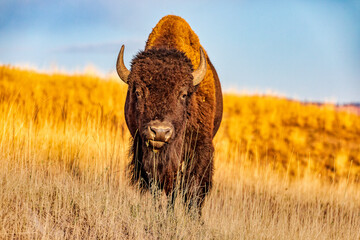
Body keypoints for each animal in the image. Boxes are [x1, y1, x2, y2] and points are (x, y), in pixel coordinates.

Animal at [116, 15, 222, 211]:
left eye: (183, 94)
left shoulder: (200, 147)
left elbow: (193, 189)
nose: (160, 132)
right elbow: (160, 186)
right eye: (138, 92)